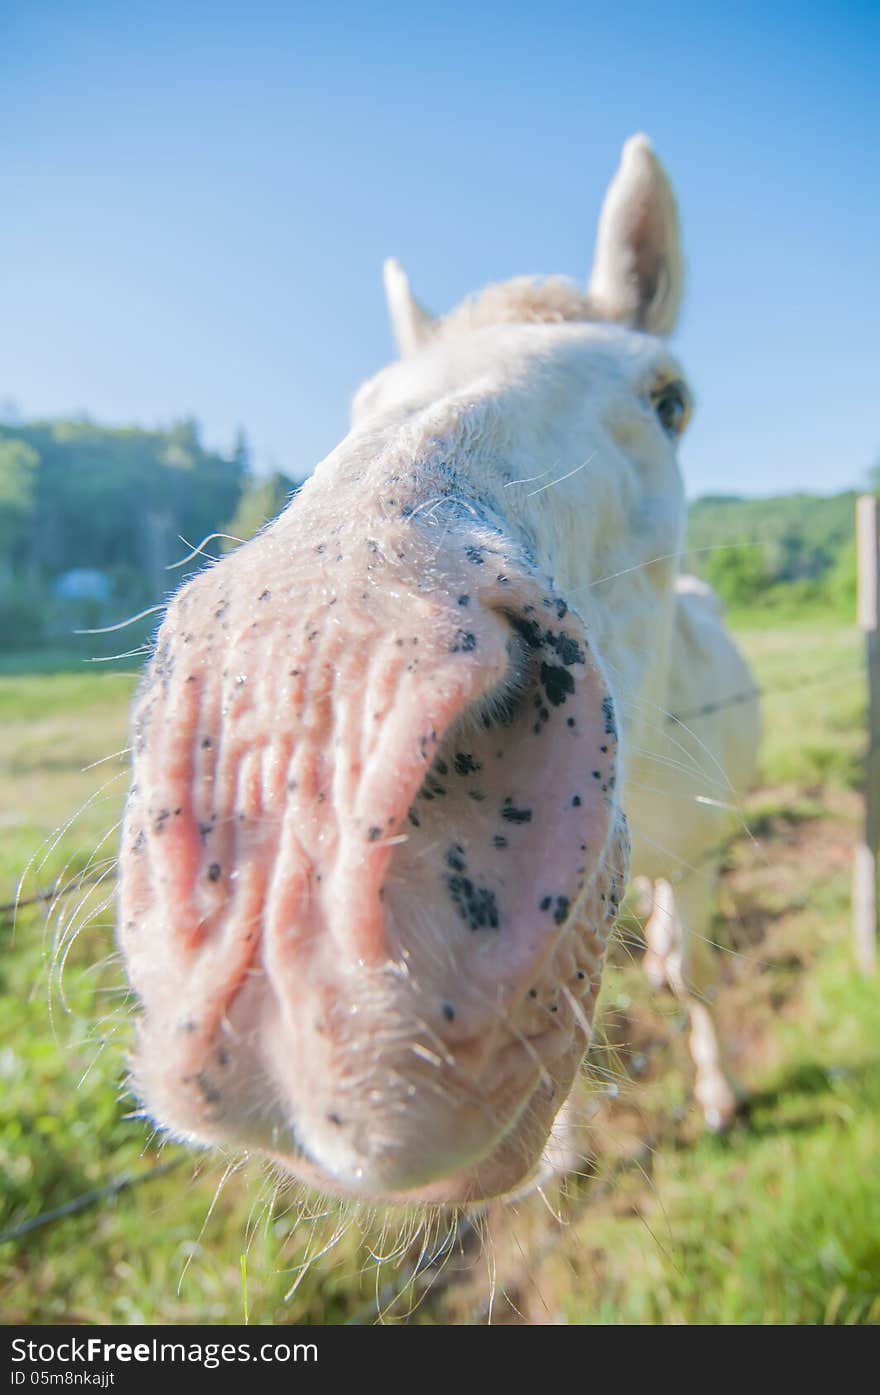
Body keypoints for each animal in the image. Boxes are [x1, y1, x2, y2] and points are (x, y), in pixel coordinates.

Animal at [117, 136, 758, 1205]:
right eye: (363, 401)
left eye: (669, 400)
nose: (304, 724)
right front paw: (572, 1149)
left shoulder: (703, 861)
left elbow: (695, 975)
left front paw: (717, 1094)